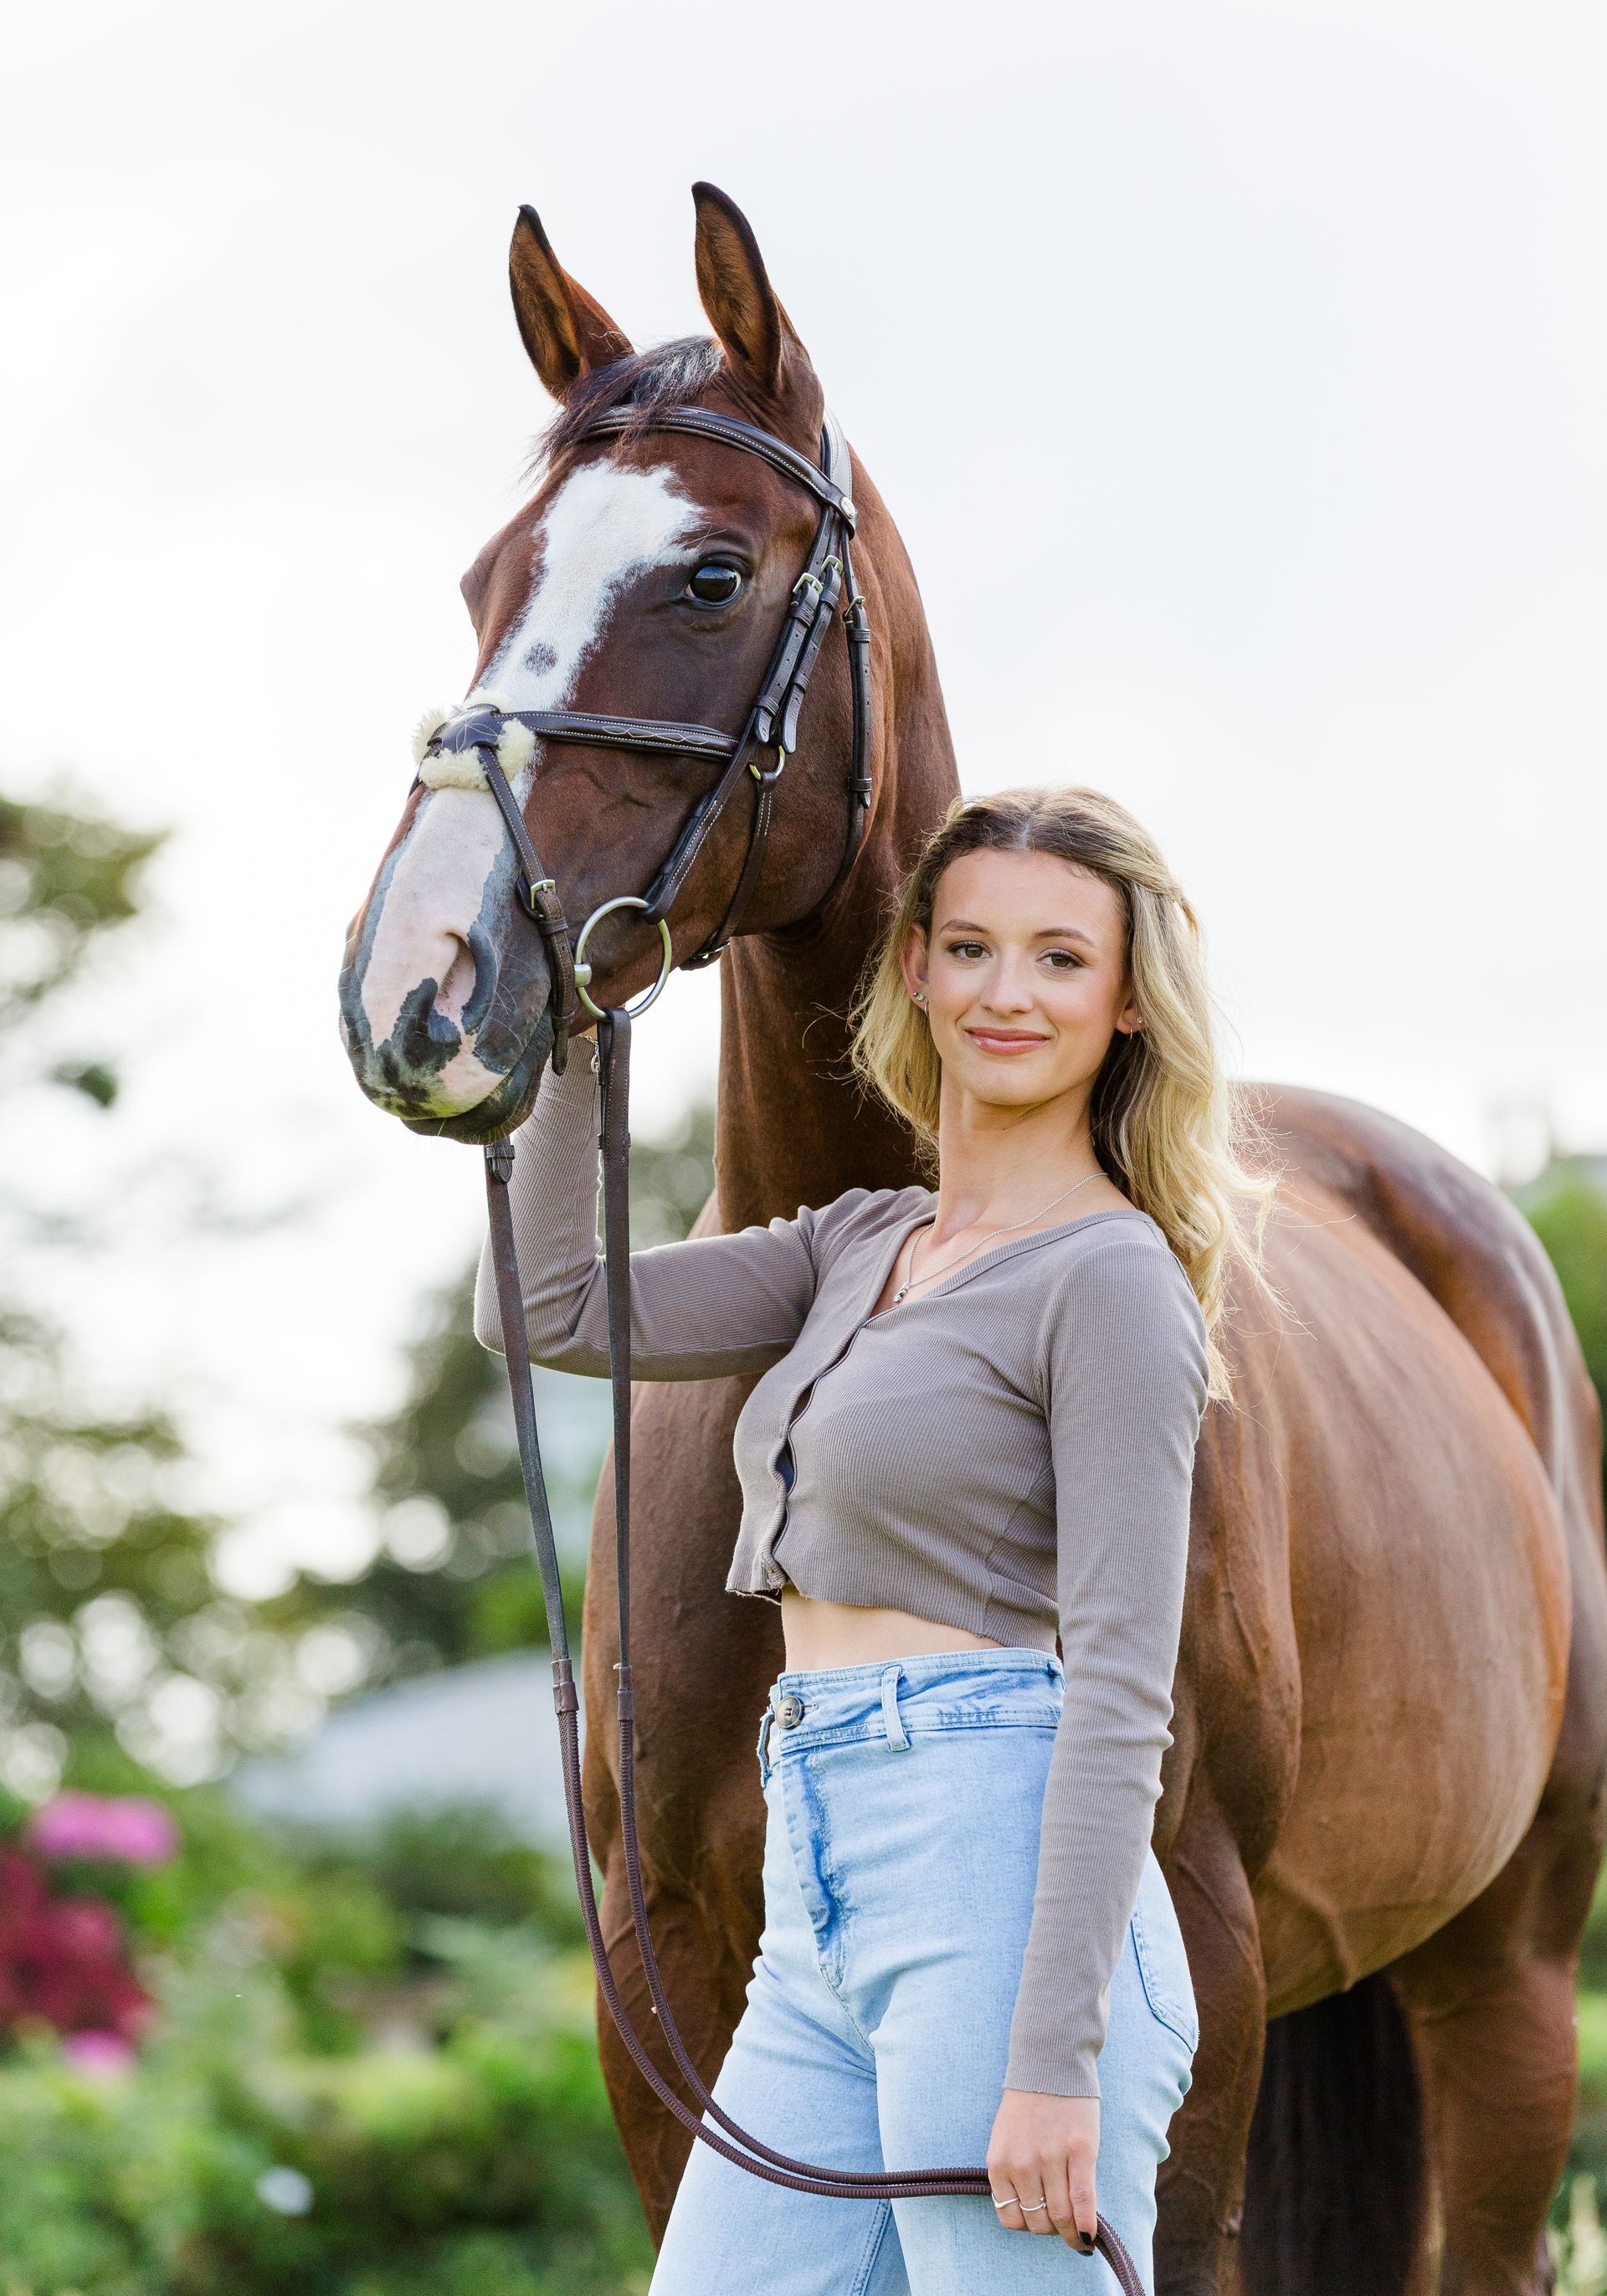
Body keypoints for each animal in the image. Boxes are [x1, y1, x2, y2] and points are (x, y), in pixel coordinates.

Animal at [337, 184, 1607, 2296]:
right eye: (479, 581)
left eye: (707, 573)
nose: (418, 991)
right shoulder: (662, 2003)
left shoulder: (1187, 1991)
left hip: (1499, 1987)